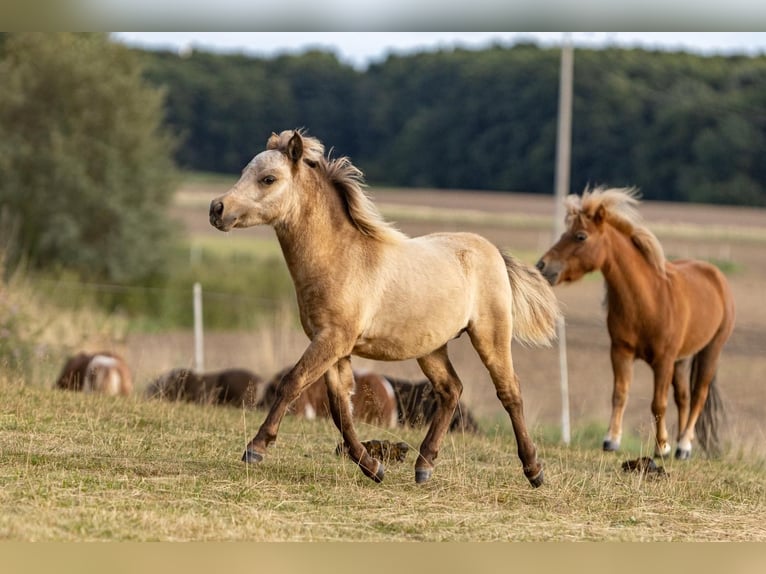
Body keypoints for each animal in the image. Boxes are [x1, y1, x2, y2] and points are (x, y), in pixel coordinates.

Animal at [535, 186, 735, 459]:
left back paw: (683, 444)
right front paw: (611, 440)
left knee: (698, 395)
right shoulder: (621, 352)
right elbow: (620, 394)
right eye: (565, 233)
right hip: (682, 360)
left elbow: (658, 403)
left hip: (710, 351)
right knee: (683, 398)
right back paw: (681, 447)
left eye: (580, 236)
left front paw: (661, 447)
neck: (648, 300)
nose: (542, 265)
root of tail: (716, 276)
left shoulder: (663, 361)